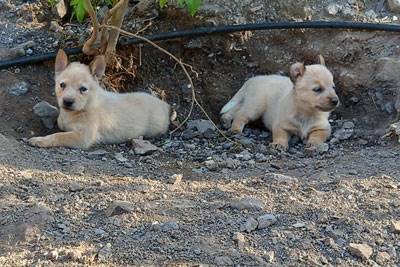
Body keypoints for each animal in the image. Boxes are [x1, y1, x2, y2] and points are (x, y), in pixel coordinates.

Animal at [28, 50, 170, 150]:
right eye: (62, 85)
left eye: (83, 89)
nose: (67, 102)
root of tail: (165, 104)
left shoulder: (83, 137)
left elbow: (59, 136)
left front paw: (40, 140)